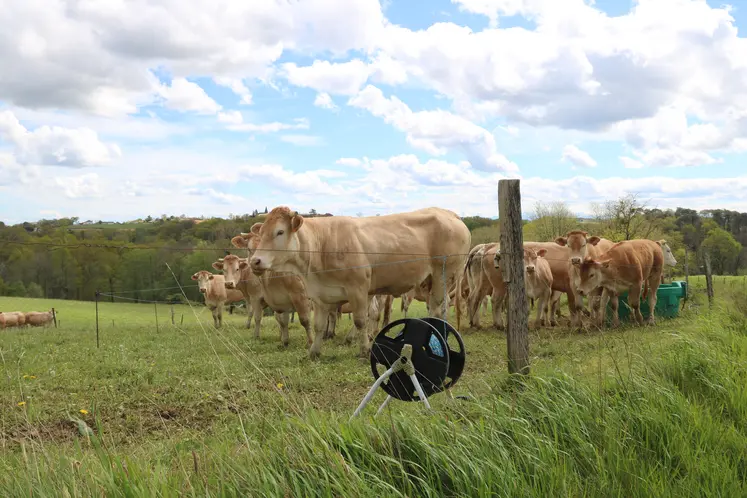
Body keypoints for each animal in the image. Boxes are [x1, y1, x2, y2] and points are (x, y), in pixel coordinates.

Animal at [248, 206, 471, 359]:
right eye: (261, 232)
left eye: (280, 232)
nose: (255, 261)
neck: (322, 245)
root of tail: (450, 214)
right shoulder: (319, 295)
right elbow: (319, 325)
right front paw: (314, 351)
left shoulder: (358, 289)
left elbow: (361, 321)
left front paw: (364, 350)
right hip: (431, 280)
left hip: (445, 275)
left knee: (439, 308)